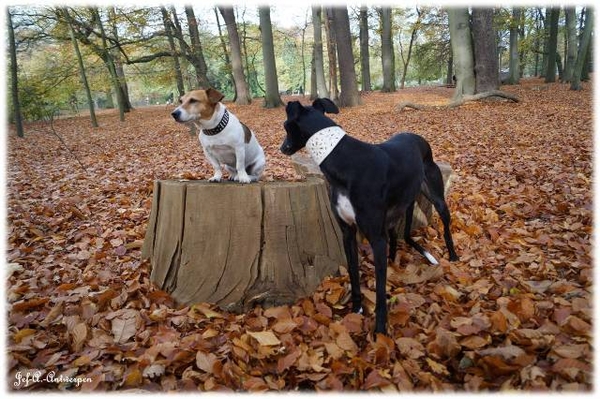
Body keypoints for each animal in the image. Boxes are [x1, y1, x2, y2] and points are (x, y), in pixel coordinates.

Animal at [278, 97, 458, 334]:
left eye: (285, 126)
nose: (282, 148)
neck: (345, 161)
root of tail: (417, 137)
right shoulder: (347, 232)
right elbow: (354, 273)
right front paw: (357, 308)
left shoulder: (376, 238)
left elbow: (380, 291)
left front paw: (380, 328)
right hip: (396, 211)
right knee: (395, 236)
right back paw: (393, 260)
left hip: (436, 197)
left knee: (445, 225)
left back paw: (452, 256)